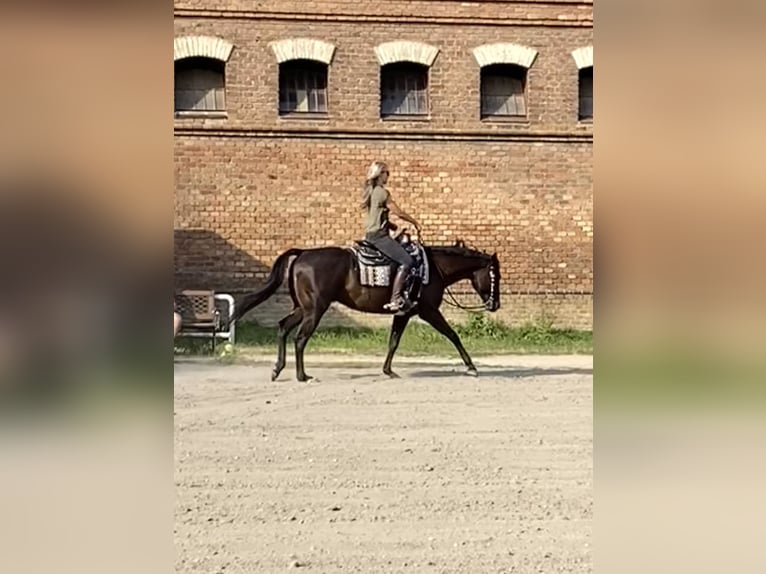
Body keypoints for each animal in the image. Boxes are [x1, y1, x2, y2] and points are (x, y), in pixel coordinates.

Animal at [231, 243, 500, 382]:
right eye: (495, 275)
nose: (495, 304)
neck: (431, 268)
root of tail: (303, 253)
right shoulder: (429, 311)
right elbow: (453, 335)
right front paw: (471, 366)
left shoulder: (403, 313)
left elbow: (393, 342)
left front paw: (388, 370)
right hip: (315, 309)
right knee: (300, 338)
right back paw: (302, 375)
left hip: (303, 308)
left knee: (283, 328)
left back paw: (278, 369)